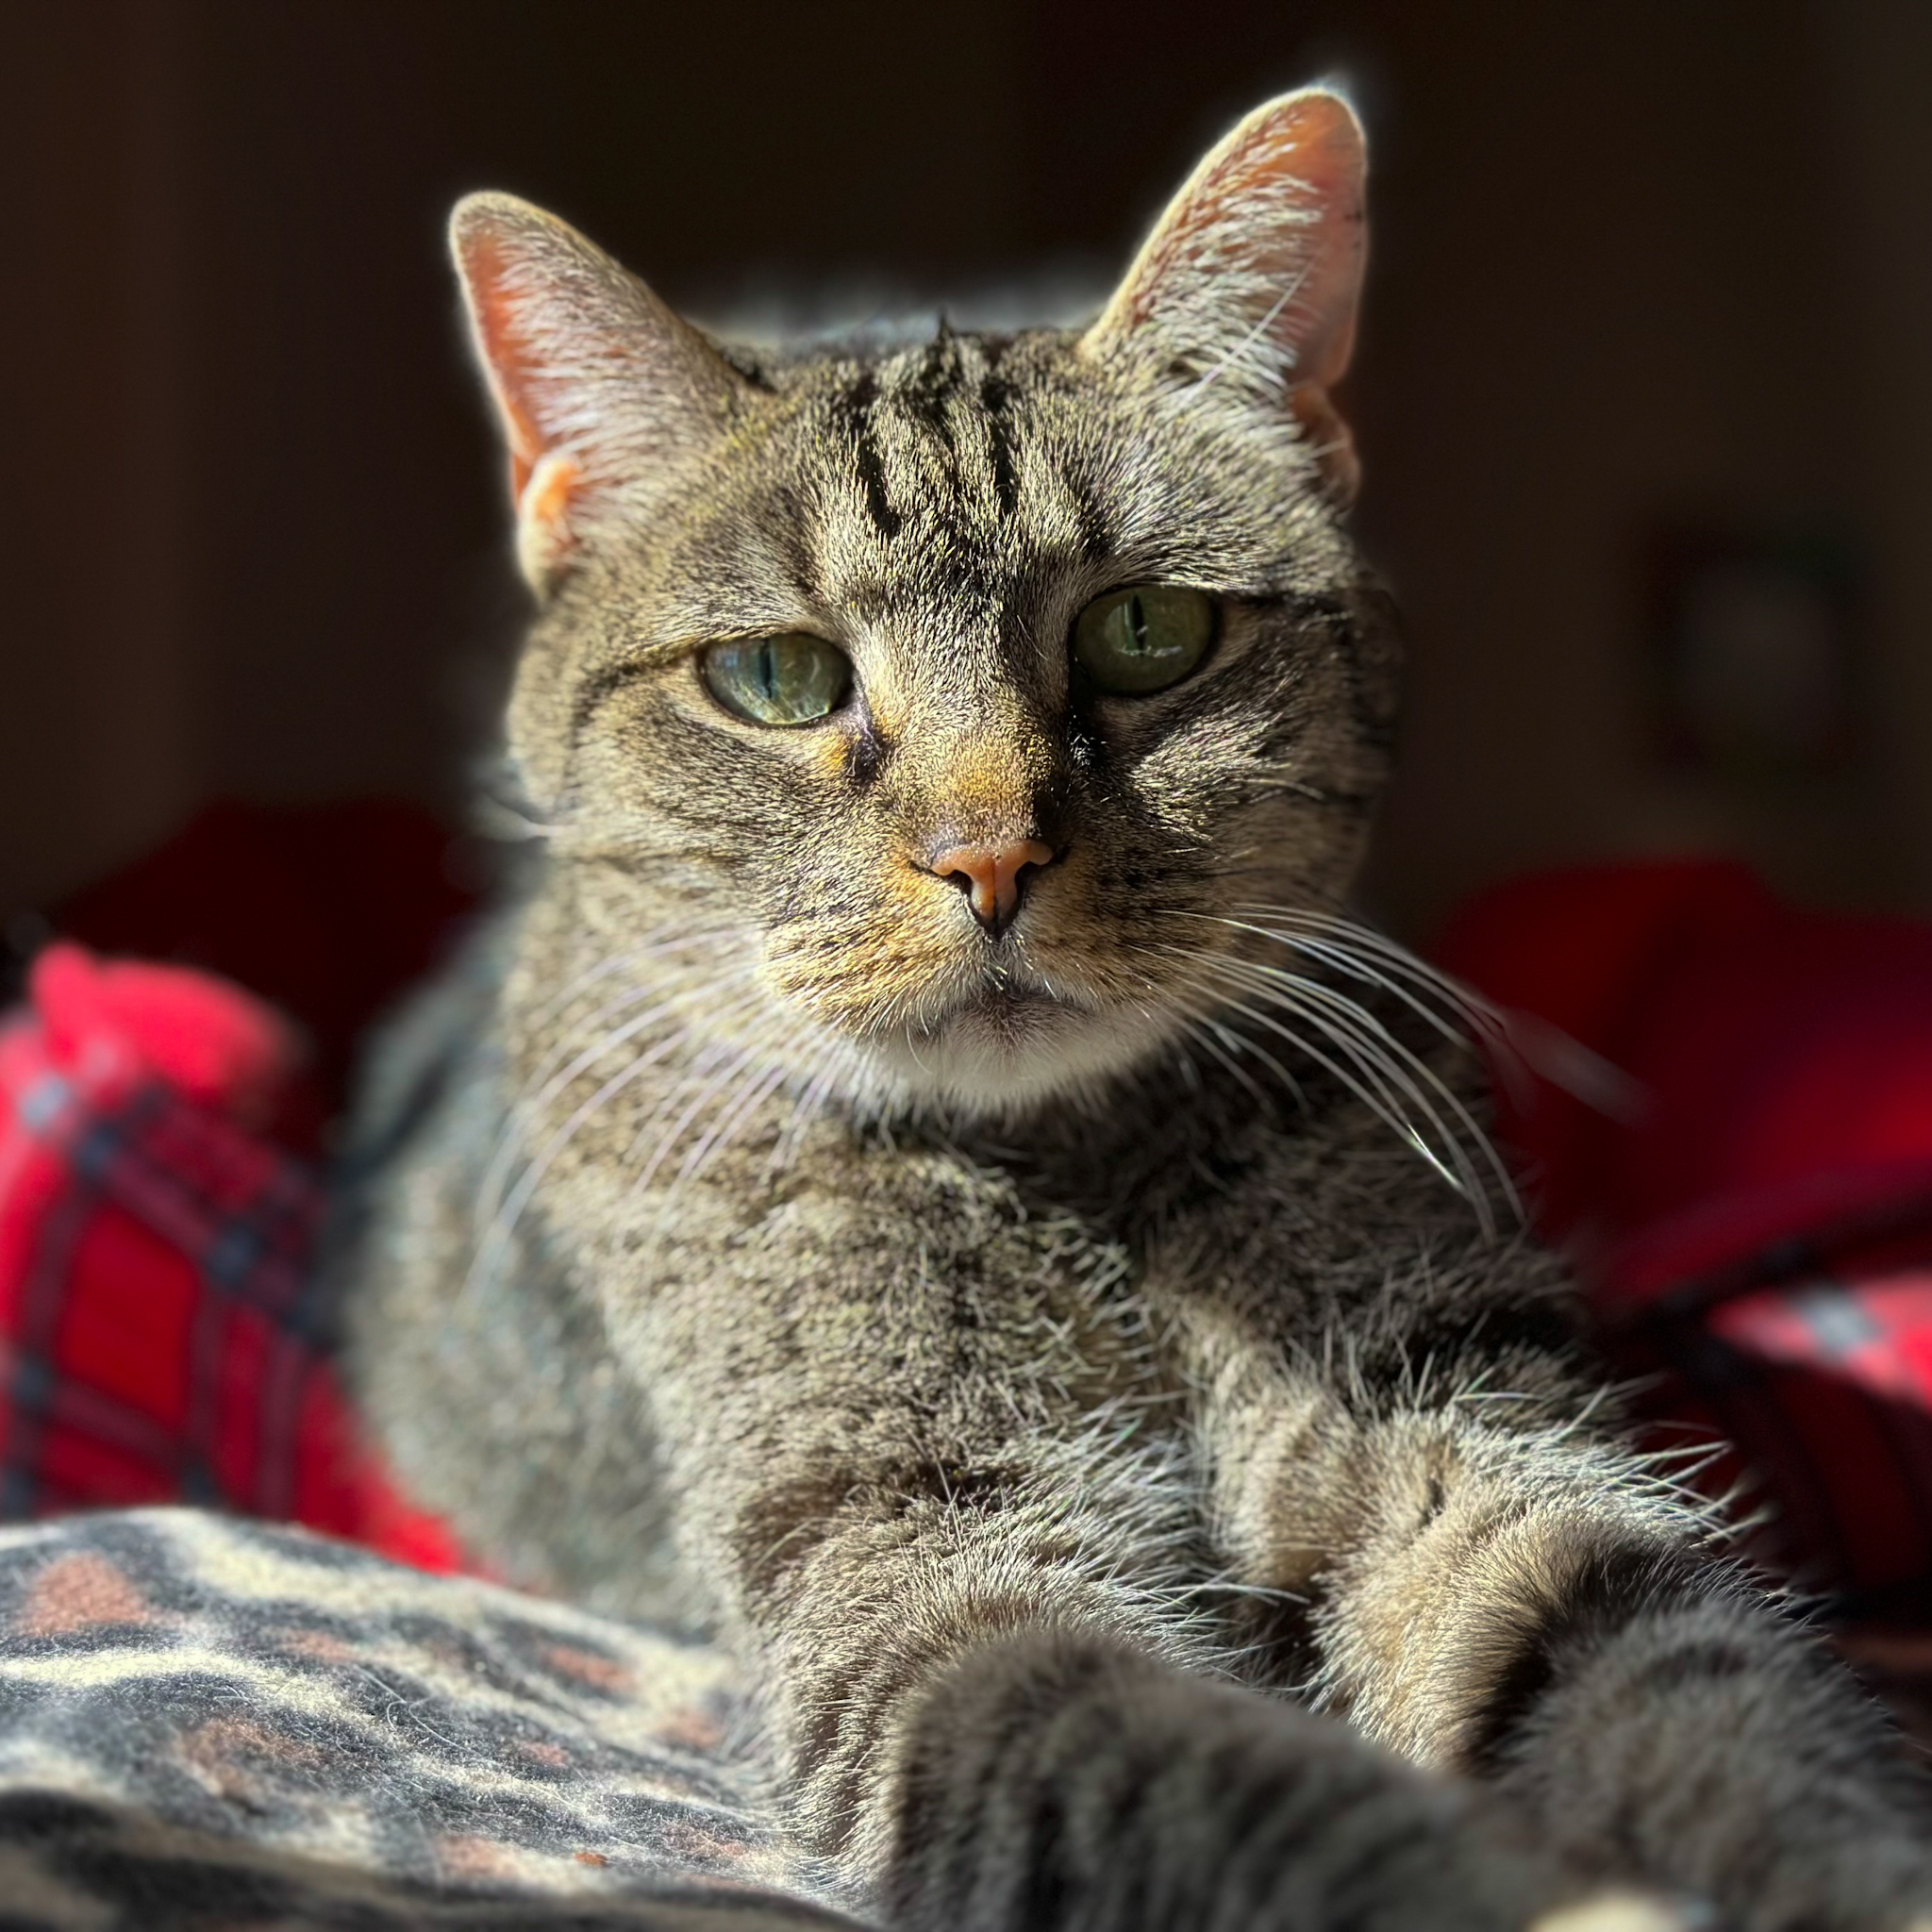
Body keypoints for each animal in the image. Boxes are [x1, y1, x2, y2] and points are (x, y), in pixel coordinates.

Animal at [343, 91, 1932, 1932]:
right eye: (779, 678)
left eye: (1146, 629)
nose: (988, 853)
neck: (1073, 1181)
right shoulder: (920, 1554)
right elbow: (1204, 1772)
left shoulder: (1451, 1414)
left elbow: (1686, 1685)